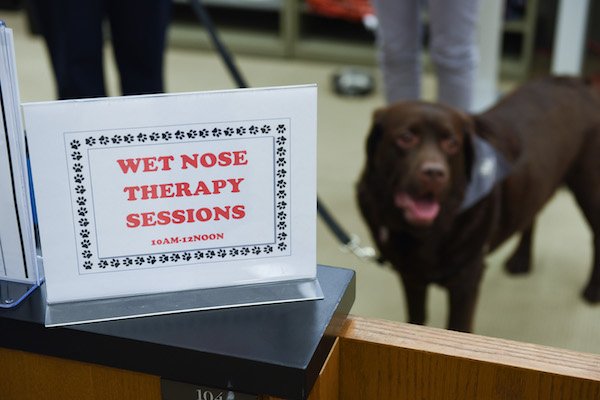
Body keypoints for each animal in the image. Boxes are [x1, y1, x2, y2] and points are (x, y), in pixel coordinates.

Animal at [357, 76, 600, 332]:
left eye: (451, 143)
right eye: (406, 137)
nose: (434, 173)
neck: (426, 233)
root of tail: (575, 82)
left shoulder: (466, 280)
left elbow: (457, 326)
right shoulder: (410, 276)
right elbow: (416, 317)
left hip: (589, 188)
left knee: (595, 236)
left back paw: (593, 289)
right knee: (531, 215)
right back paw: (521, 259)